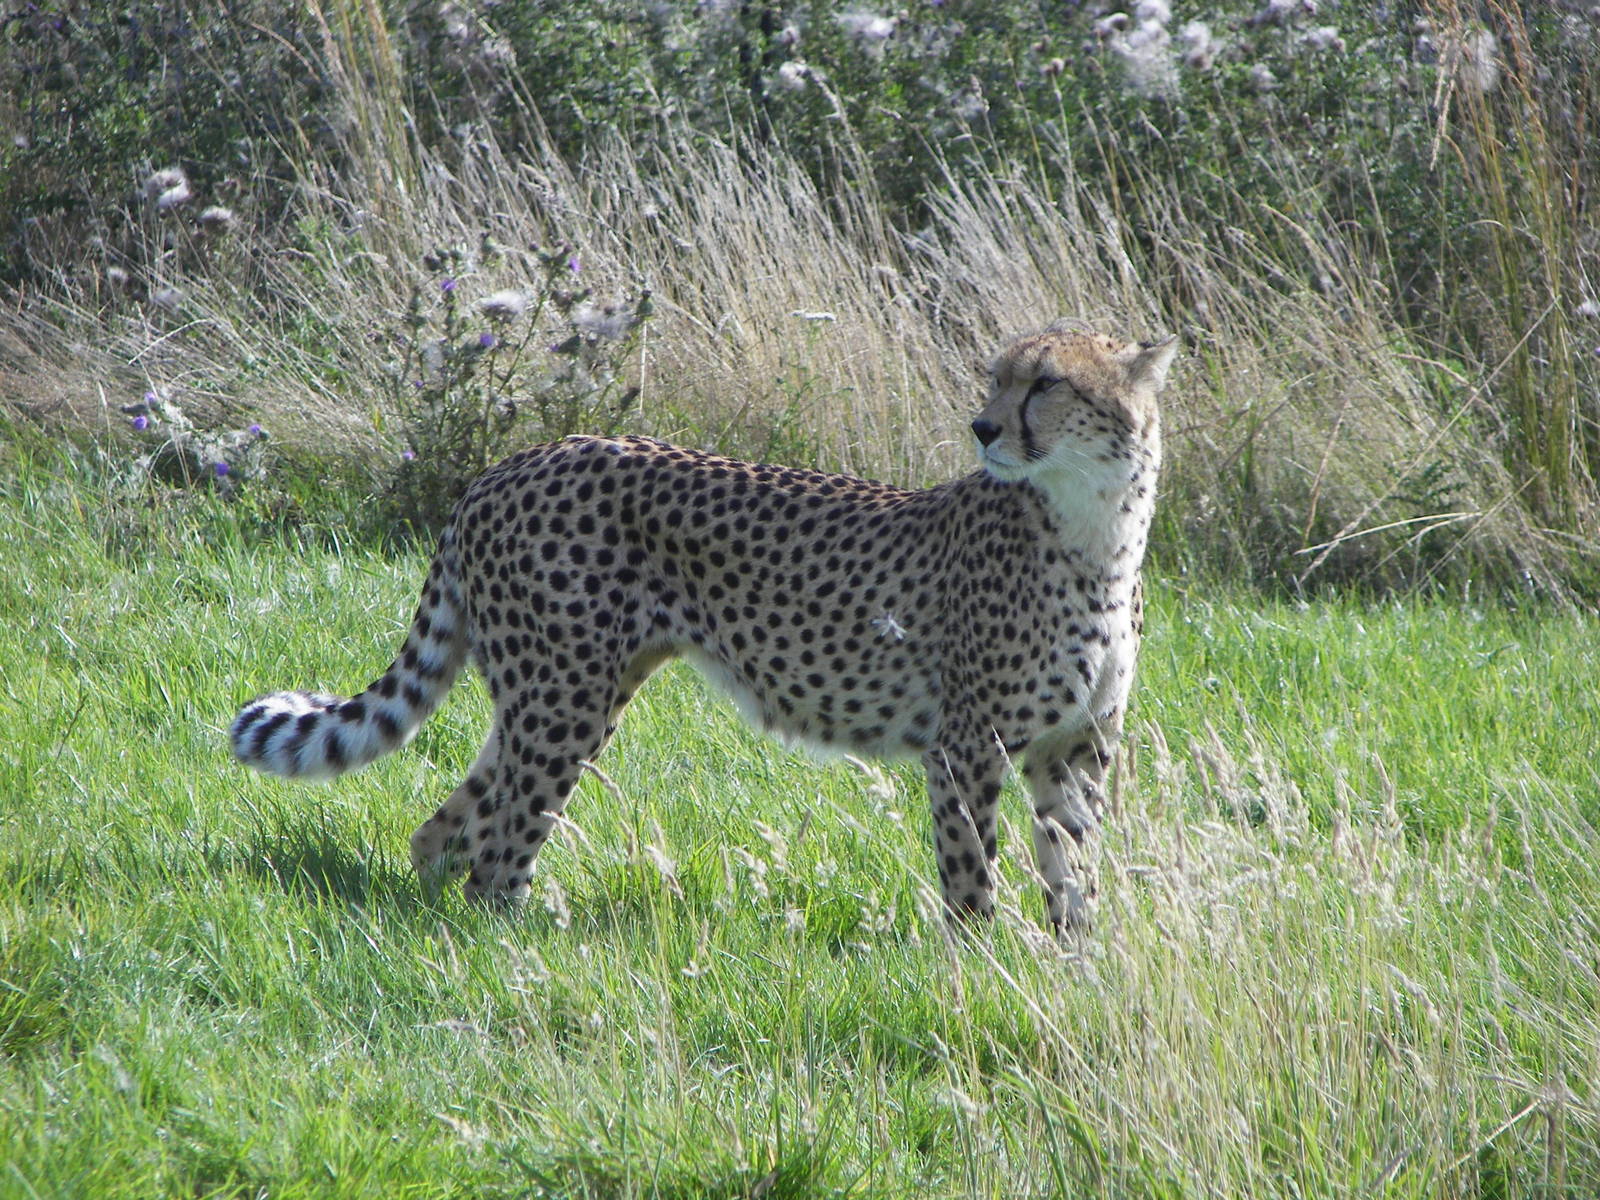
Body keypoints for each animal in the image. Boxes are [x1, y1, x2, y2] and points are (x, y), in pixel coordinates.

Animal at [229, 326, 1177, 934]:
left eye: (1047, 384)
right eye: (996, 380)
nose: (982, 428)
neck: (1099, 529)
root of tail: (511, 462)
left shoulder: (1077, 745)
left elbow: (1075, 869)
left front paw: (1073, 966)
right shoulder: (968, 743)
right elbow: (971, 870)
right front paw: (978, 970)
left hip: (565, 693)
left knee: (448, 826)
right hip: (566, 698)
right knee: (499, 847)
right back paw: (523, 948)